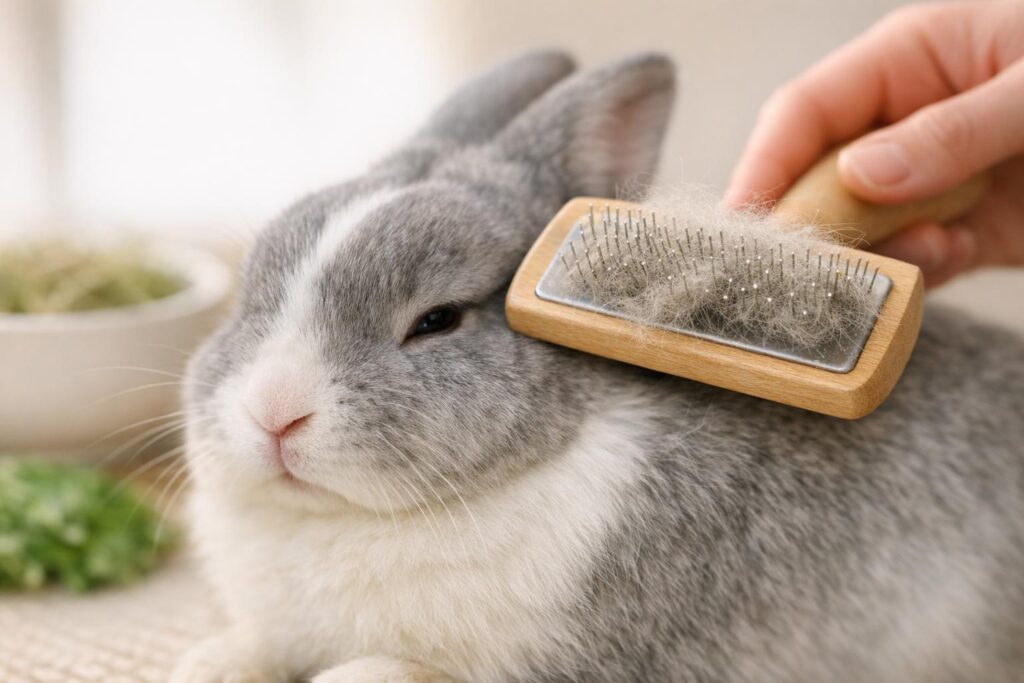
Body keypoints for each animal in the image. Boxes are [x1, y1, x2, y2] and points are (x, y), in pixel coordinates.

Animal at [172, 50, 1024, 683]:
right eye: (252, 287)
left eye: (438, 320)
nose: (274, 413)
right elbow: (240, 651)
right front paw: (207, 663)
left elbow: (376, 672)